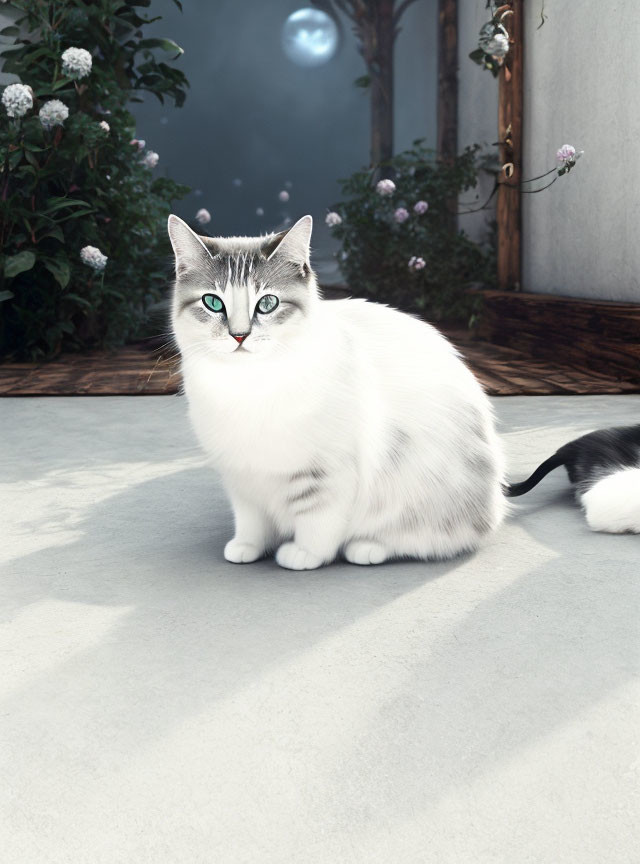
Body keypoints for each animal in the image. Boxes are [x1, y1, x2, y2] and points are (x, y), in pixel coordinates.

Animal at [168, 213, 636, 572]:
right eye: (213, 303)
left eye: (266, 304)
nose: (240, 336)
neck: (249, 389)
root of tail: (495, 500)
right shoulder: (243, 478)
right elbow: (251, 522)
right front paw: (247, 547)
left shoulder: (326, 475)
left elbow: (318, 524)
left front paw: (303, 554)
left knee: (433, 539)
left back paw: (368, 548)